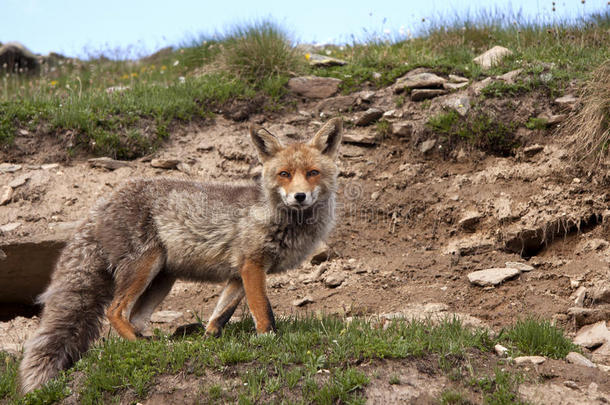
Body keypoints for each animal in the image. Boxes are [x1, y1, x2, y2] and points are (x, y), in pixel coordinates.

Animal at [19, 116, 342, 392]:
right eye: (284, 174)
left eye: (312, 173)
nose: (299, 196)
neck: (276, 217)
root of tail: (101, 203)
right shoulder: (252, 265)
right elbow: (263, 312)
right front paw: (270, 341)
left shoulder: (238, 274)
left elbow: (219, 316)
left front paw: (207, 342)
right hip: (144, 266)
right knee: (115, 311)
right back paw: (141, 345)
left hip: (162, 280)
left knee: (134, 317)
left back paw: (150, 342)